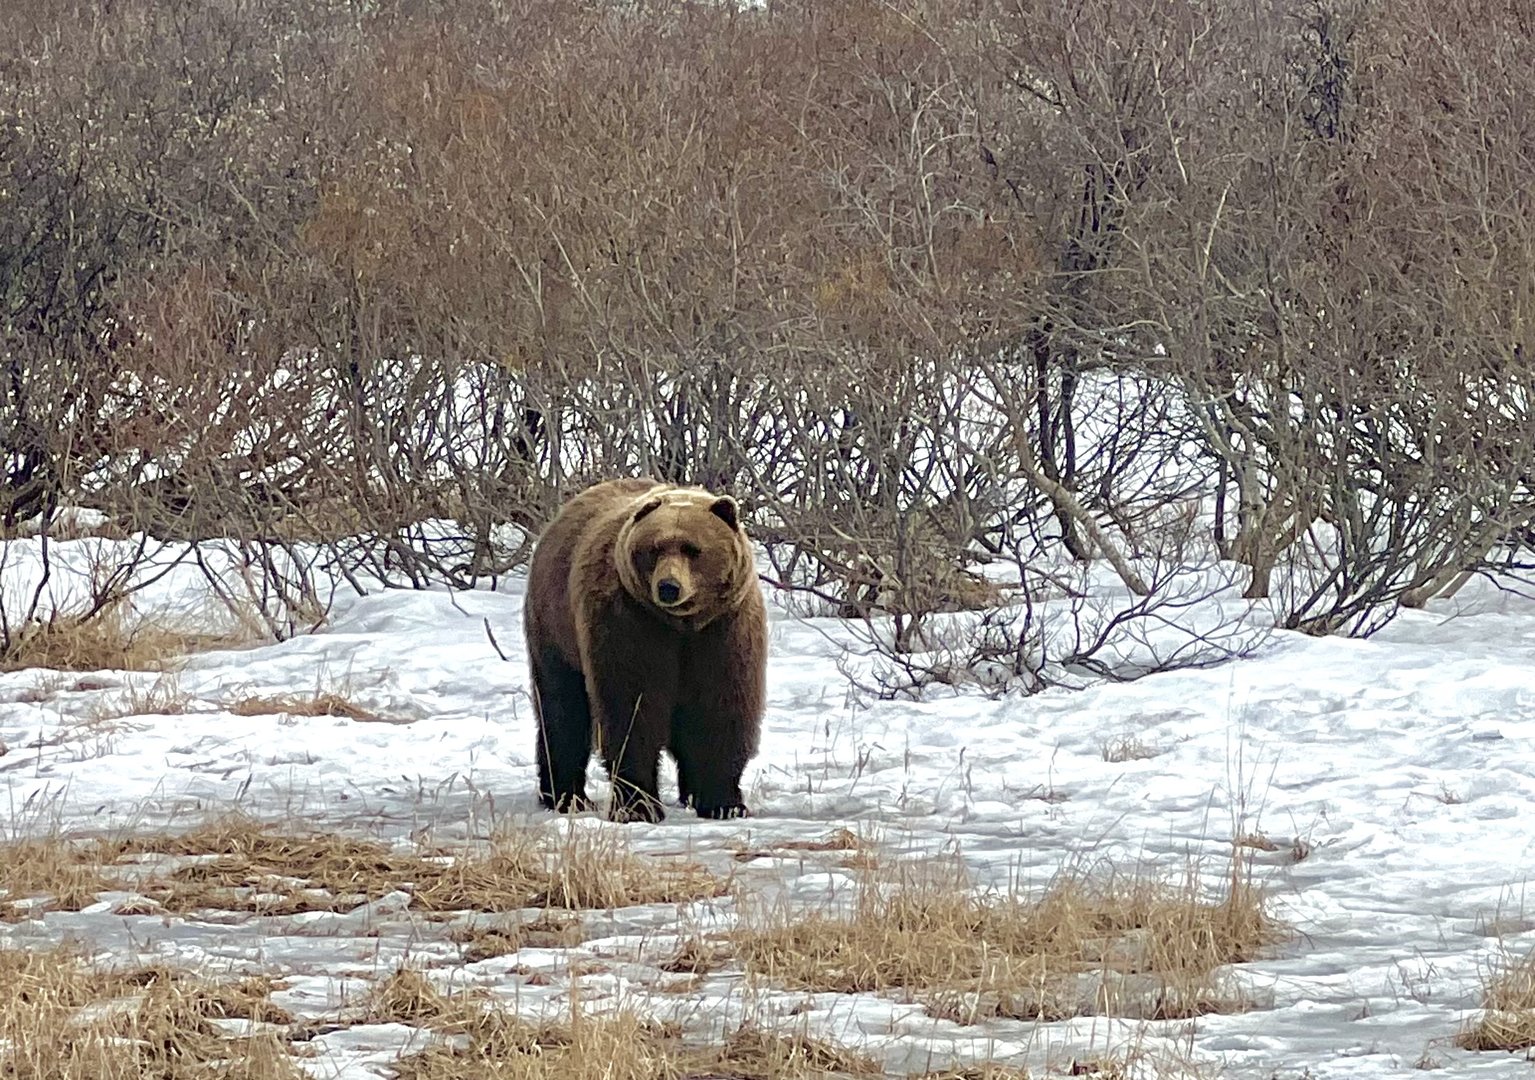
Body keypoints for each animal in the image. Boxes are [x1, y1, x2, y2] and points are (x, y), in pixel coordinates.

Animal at [523, 477, 767, 823]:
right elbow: (632, 707)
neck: (681, 624)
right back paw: (566, 796)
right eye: (654, 549)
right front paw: (637, 806)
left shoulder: (724, 629)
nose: (668, 587)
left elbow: (720, 706)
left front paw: (724, 803)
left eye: (693, 549)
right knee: (562, 709)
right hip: (556, 628)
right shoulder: (630, 623)